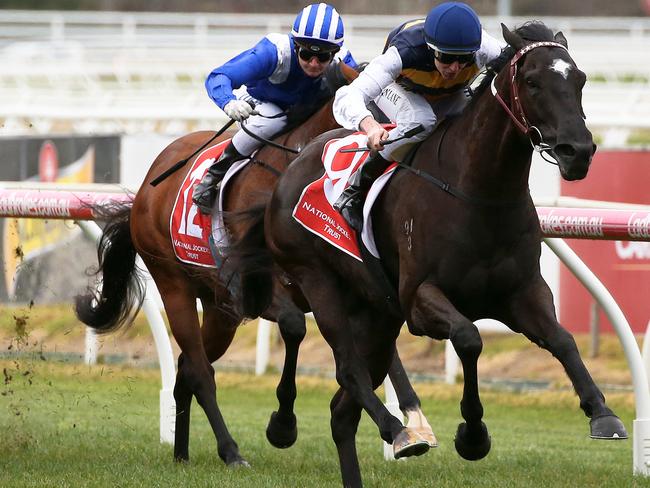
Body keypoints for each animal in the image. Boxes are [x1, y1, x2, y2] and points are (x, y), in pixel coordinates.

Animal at [73, 62, 432, 468]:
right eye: (376, 114)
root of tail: (147, 187)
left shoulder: (352, 287)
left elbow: (386, 353)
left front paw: (415, 422)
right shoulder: (261, 286)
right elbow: (295, 327)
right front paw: (283, 424)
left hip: (220, 309)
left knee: (187, 366)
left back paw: (182, 452)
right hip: (175, 286)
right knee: (200, 370)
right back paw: (230, 451)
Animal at [232, 21, 624, 484]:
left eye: (579, 79)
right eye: (532, 82)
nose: (577, 152)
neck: (481, 194)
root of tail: (289, 167)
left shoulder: (523, 292)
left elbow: (562, 339)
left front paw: (602, 412)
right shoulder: (420, 299)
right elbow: (469, 338)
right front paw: (472, 434)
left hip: (376, 315)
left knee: (342, 410)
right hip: (318, 281)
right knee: (348, 369)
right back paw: (394, 429)